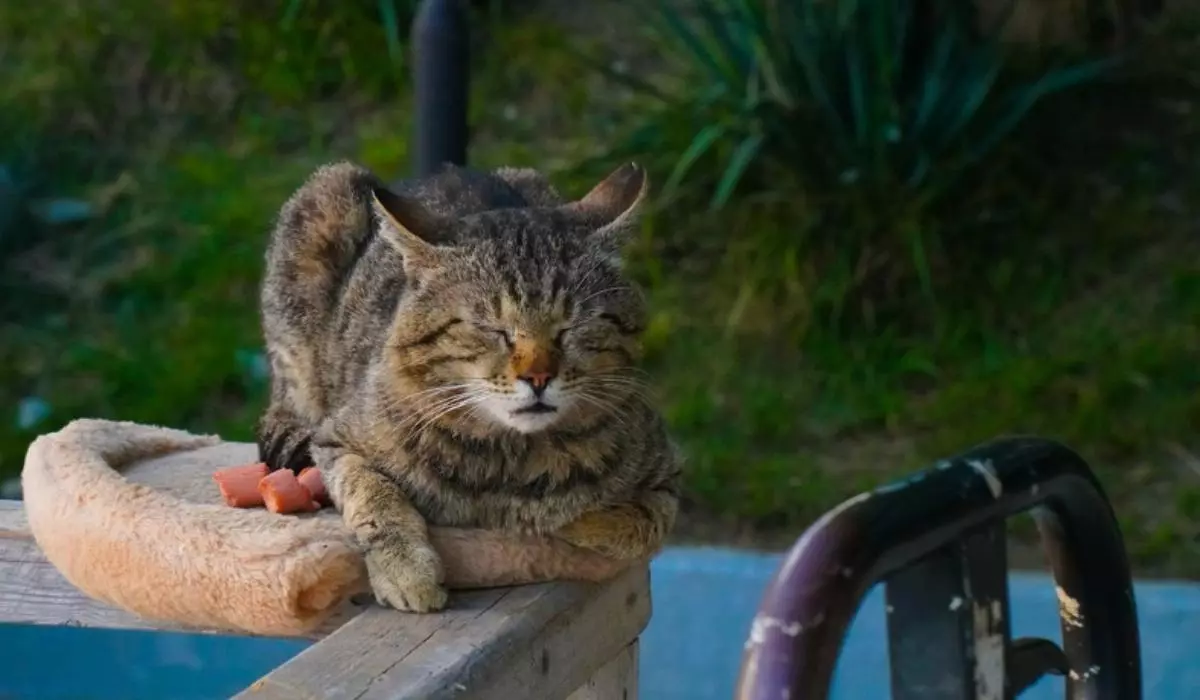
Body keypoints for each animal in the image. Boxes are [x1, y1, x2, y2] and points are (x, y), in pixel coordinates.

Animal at [256, 162, 681, 609]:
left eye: (571, 327)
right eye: (492, 329)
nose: (538, 377)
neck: (510, 459)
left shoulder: (667, 478)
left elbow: (632, 524)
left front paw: (552, 521)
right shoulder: (338, 441)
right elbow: (374, 496)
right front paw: (406, 570)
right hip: (322, 206)